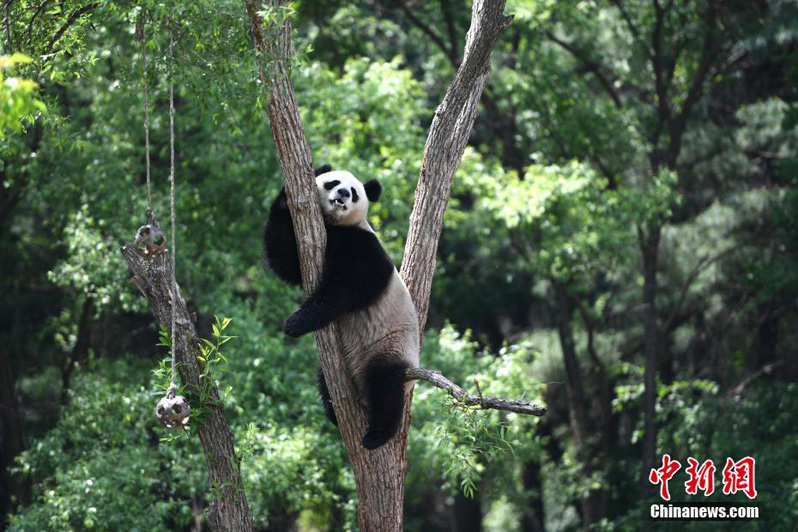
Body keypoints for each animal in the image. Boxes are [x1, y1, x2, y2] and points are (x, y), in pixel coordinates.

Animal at [266, 165, 422, 448]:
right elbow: (284, 261)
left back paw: (377, 435)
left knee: (385, 386)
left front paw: (294, 323)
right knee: (323, 378)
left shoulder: (363, 247)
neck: (336, 225)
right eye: (333, 182)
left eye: (354, 192)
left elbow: (340, 291)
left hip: (389, 348)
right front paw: (285, 197)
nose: (342, 194)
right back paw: (333, 412)